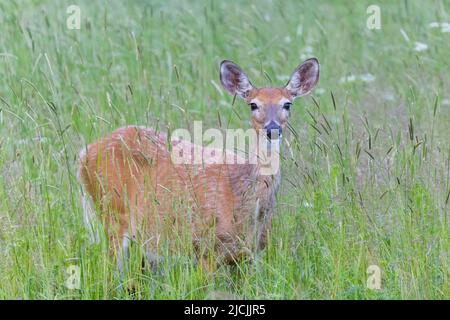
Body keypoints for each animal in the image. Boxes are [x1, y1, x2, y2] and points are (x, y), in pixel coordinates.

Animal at [79, 57, 320, 272]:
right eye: (253, 104)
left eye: (287, 104)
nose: (272, 129)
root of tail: (84, 154)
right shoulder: (205, 248)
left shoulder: (249, 257)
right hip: (113, 212)